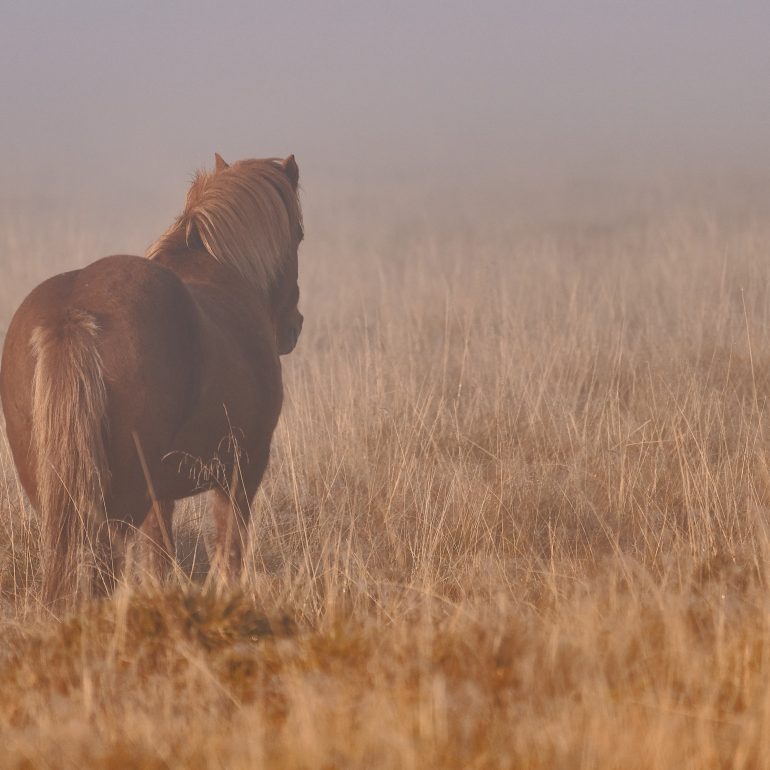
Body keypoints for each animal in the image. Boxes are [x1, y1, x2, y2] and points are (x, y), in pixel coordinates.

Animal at [0, 153, 304, 606]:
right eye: (299, 234)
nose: (293, 327)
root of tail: (72, 315)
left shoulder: (160, 494)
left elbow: (159, 559)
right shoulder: (243, 469)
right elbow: (228, 551)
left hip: (56, 494)